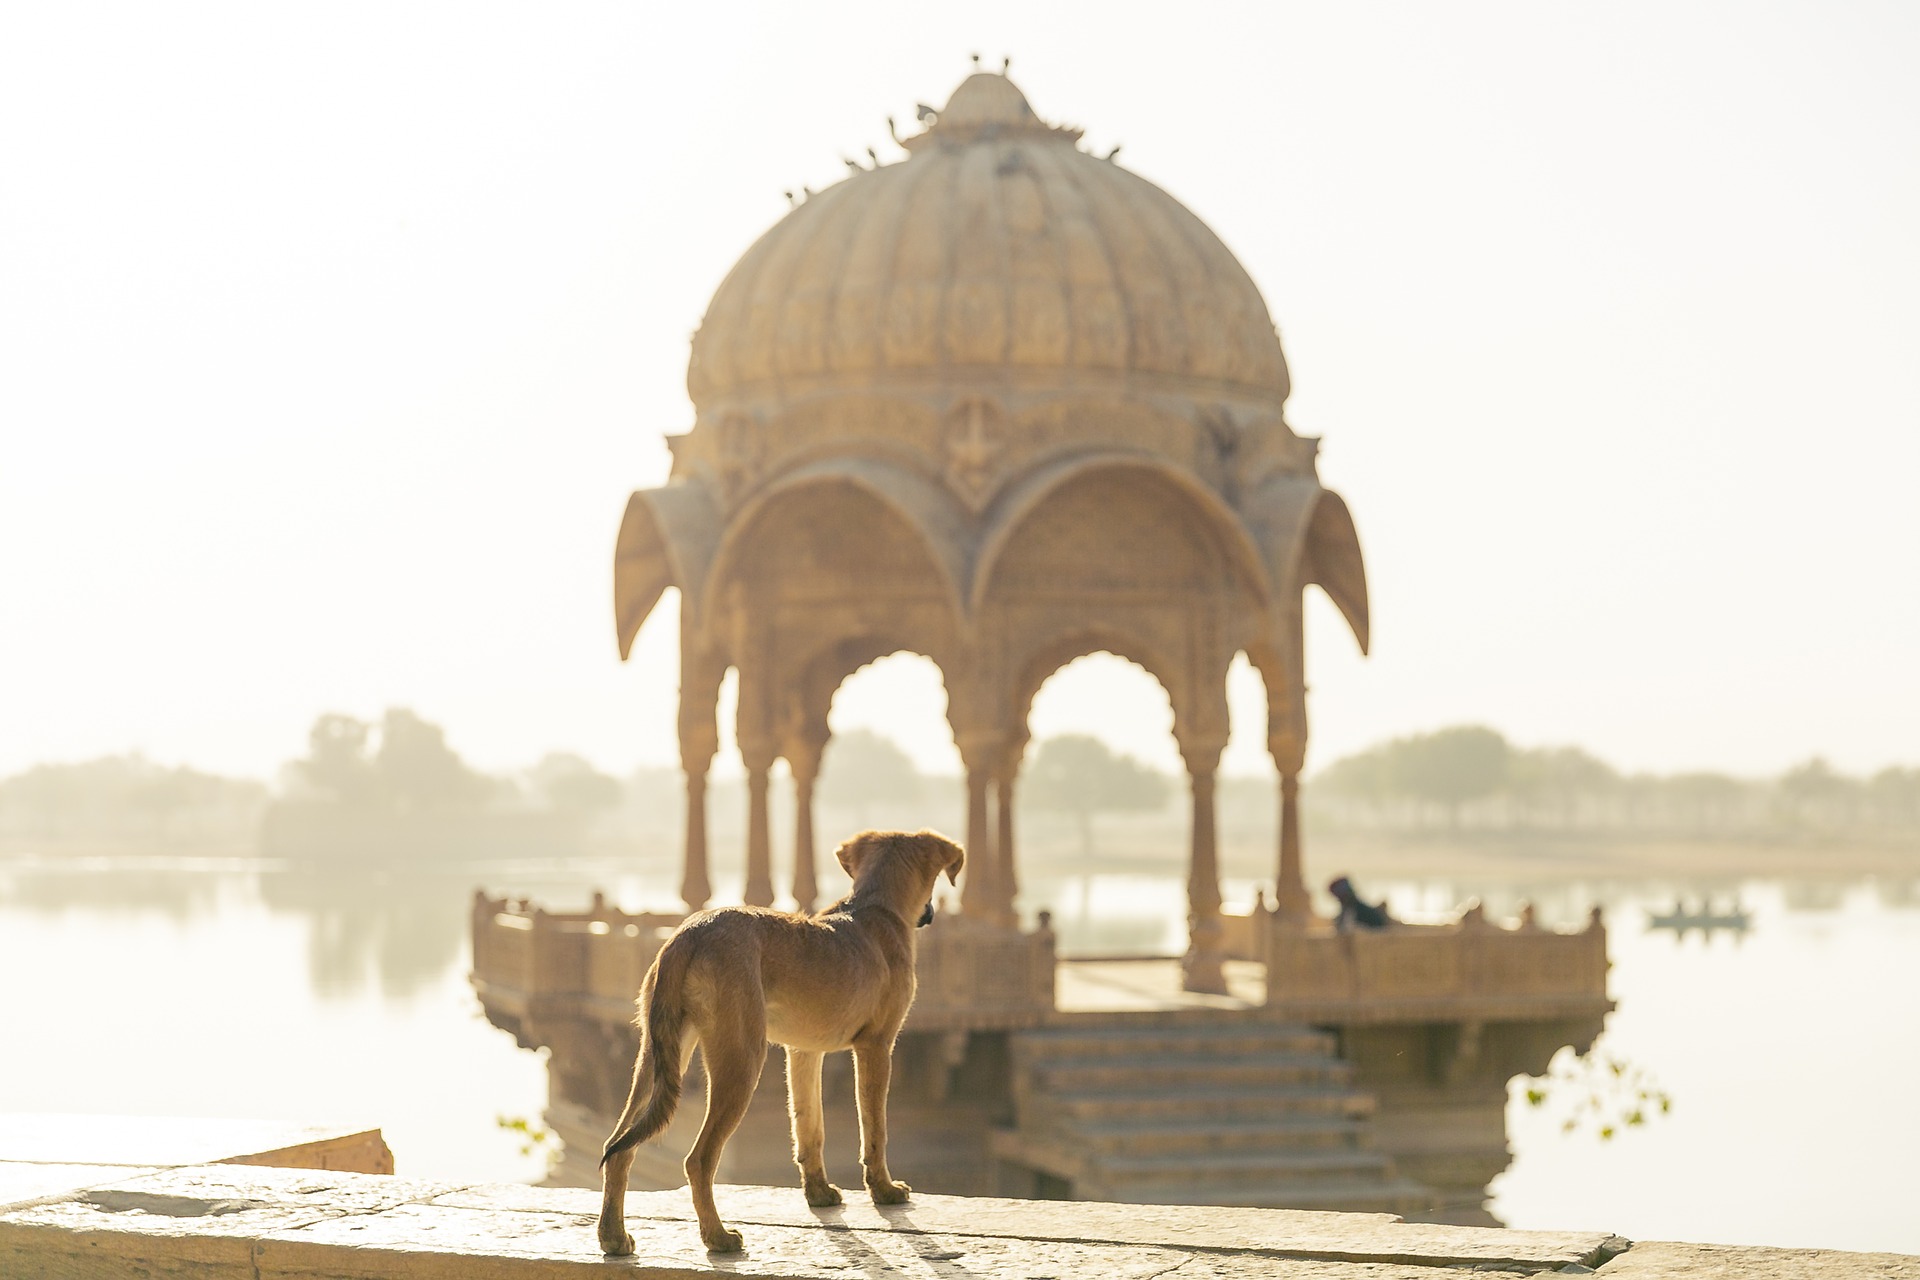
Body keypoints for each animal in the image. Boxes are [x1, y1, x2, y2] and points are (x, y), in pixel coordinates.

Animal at [595, 825, 967, 1258]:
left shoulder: (804, 1051)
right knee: (698, 1159)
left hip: (656, 1059)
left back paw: (613, 1237)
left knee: (619, 1147)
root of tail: (690, 934)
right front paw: (885, 1190)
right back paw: (718, 1237)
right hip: (741, 1059)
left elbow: (809, 1127)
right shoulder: (876, 1047)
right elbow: (875, 1130)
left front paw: (818, 1193)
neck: (875, 909)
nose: (929, 914)